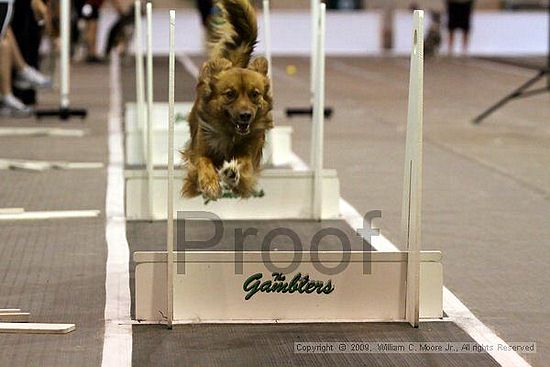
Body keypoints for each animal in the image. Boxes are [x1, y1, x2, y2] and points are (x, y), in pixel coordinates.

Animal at [182, 0, 274, 201]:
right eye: (230, 94)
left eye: (255, 94)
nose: (246, 116)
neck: (230, 134)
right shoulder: (199, 149)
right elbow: (203, 162)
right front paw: (210, 184)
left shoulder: (251, 153)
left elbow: (244, 165)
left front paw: (232, 172)